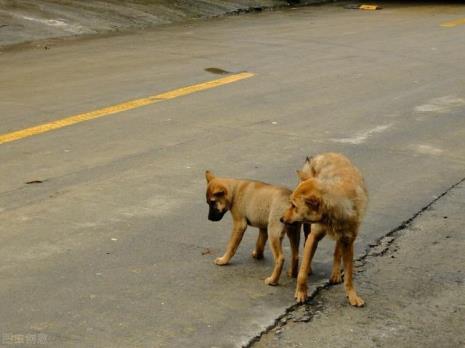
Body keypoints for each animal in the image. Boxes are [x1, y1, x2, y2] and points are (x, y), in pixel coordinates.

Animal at [280, 154, 368, 306]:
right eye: (290, 203)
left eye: (294, 206)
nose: (281, 219)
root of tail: (326, 154)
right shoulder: (314, 236)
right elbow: (302, 271)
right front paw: (301, 292)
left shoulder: (348, 242)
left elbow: (349, 275)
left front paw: (352, 295)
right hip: (307, 226)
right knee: (305, 245)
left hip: (340, 237)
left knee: (337, 251)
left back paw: (336, 273)